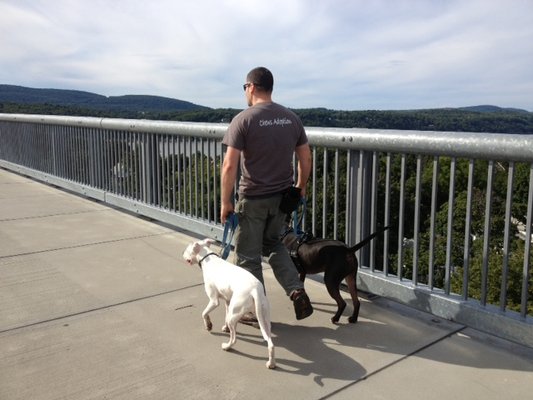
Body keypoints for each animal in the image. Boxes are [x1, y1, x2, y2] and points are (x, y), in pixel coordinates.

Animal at [182, 238, 276, 368]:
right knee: (270, 343)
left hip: (235, 315)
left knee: (234, 339)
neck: (208, 258)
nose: (182, 254)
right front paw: (225, 328)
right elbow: (225, 317)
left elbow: (204, 313)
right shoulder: (228, 302)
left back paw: (227, 347)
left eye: (187, 249)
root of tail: (255, 290)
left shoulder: (214, 301)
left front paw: (208, 325)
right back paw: (271, 364)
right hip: (263, 318)